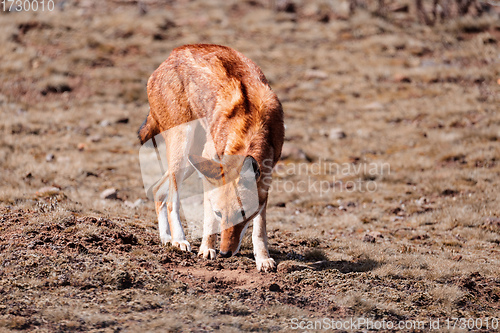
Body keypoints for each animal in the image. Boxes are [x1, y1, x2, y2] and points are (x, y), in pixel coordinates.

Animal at [139, 44, 284, 272]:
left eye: (243, 215)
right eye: (219, 214)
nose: (225, 253)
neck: (250, 127)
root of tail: (172, 54)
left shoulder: (266, 179)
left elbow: (259, 229)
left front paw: (263, 259)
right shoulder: (211, 169)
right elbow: (208, 219)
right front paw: (207, 249)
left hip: (191, 161)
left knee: (157, 190)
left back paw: (166, 239)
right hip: (184, 153)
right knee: (172, 200)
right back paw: (179, 240)